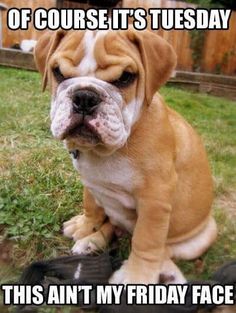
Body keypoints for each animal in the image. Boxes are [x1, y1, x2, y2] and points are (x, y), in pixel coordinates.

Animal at [34, 28, 218, 284]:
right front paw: (86, 226)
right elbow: (92, 206)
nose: (84, 97)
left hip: (203, 234)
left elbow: (146, 241)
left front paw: (136, 276)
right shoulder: (91, 182)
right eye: (58, 72)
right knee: (113, 225)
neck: (106, 152)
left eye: (125, 77)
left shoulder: (154, 201)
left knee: (163, 250)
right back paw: (92, 241)